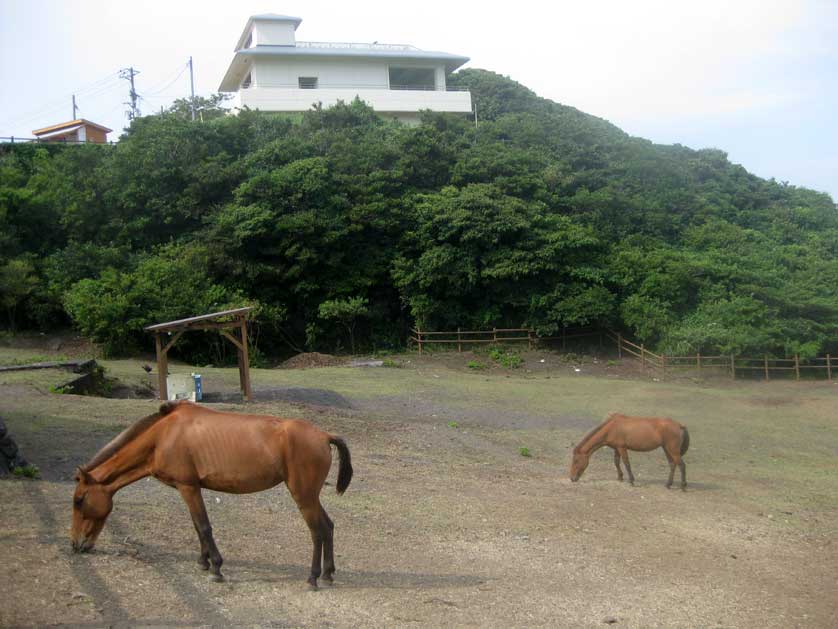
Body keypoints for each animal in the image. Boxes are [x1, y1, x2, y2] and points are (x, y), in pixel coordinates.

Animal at [68, 400, 352, 588]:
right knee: (328, 527)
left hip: (303, 497)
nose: (75, 545)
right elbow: (197, 527)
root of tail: (324, 435)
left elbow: (204, 527)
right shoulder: (191, 489)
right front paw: (203, 561)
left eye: (79, 500)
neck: (162, 436)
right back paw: (328, 574)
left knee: (317, 531)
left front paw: (216, 567)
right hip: (311, 497)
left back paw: (313, 577)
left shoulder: (188, 487)